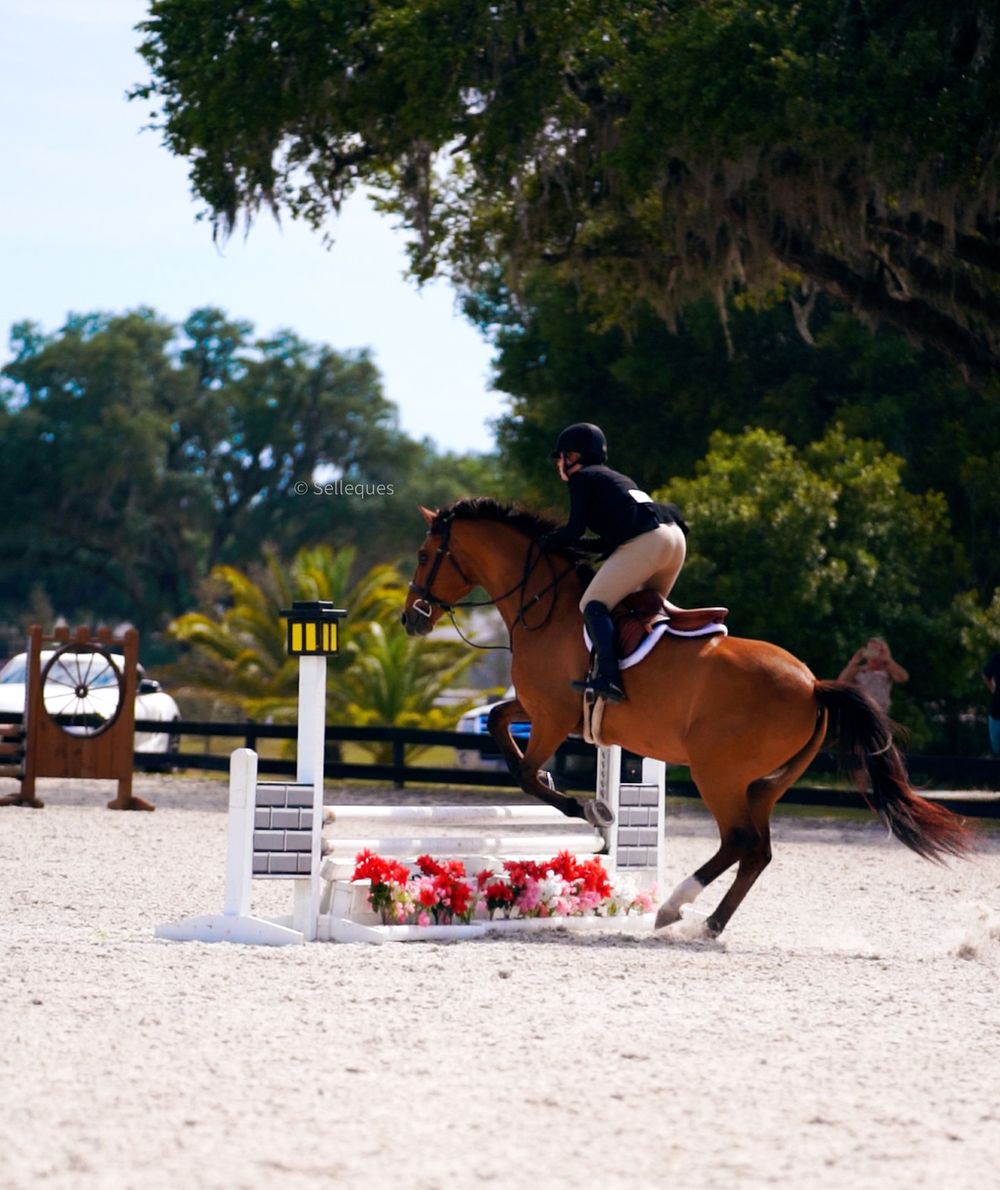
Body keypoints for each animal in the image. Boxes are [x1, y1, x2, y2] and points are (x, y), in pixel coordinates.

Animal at [400, 498, 972, 936]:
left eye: (425, 555)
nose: (411, 619)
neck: (544, 605)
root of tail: (813, 685)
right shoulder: (540, 707)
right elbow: (499, 722)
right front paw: (571, 793)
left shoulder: (555, 716)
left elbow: (522, 773)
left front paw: (591, 809)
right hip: (764, 783)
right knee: (758, 851)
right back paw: (710, 923)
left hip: (717, 772)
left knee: (739, 841)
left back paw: (674, 906)